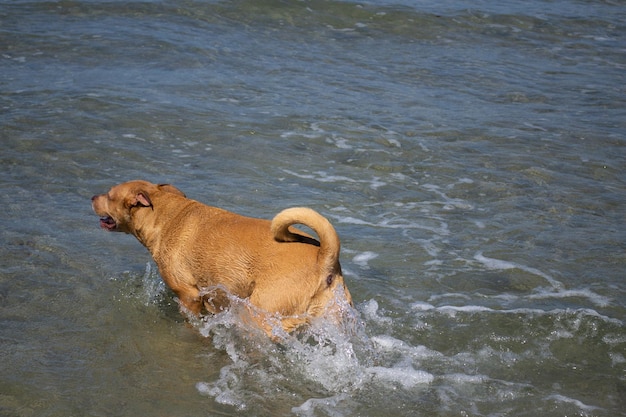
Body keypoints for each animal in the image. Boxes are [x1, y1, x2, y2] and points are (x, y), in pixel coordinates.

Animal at [90, 179, 352, 334]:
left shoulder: (189, 295)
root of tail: (324, 258)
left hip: (260, 314)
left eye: (109, 196)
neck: (167, 215)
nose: (92, 197)